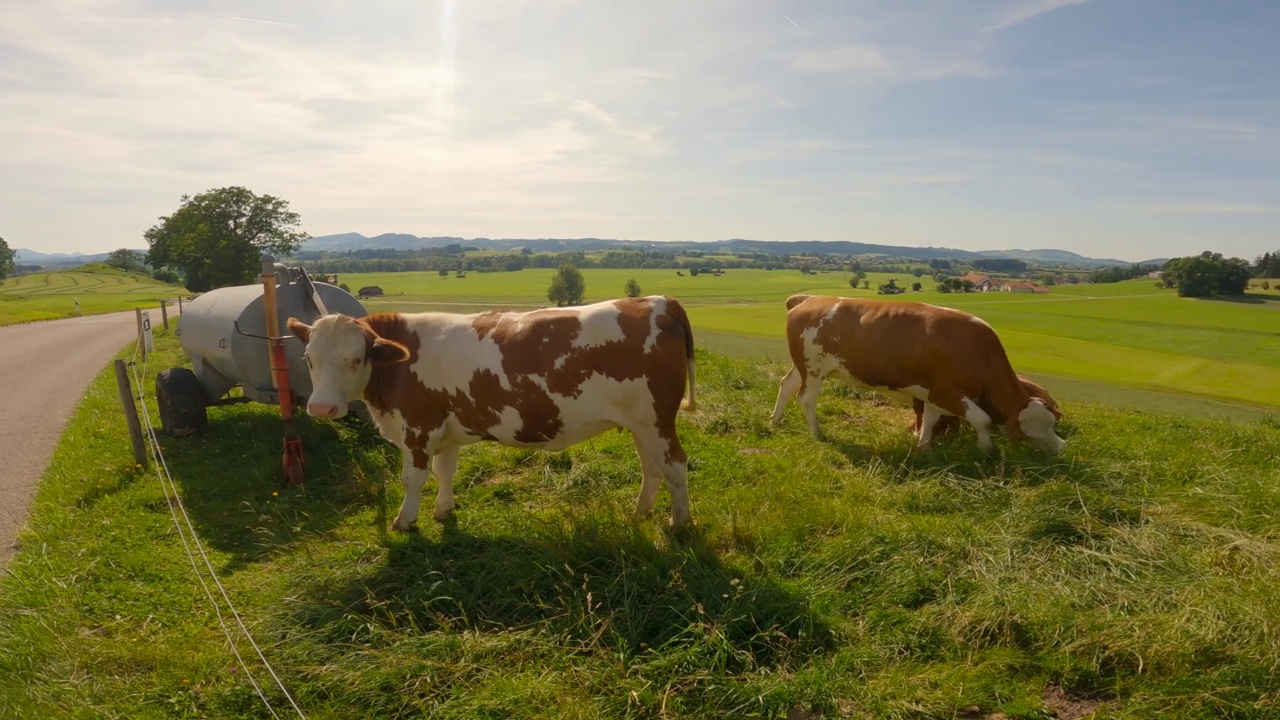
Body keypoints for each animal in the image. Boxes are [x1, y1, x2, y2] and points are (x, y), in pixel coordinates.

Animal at [289, 294, 696, 530]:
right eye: (308, 358)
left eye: (356, 359)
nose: (321, 407)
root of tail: (658, 301)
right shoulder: (446, 430)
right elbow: (445, 470)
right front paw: (444, 510)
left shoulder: (417, 429)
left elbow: (413, 478)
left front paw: (404, 521)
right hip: (642, 424)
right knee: (651, 467)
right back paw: (642, 512)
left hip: (657, 420)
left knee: (675, 466)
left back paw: (680, 525)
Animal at [773, 289, 1064, 448]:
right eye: (1031, 430)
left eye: (1053, 422)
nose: (1062, 446)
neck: (980, 353)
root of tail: (809, 298)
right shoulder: (947, 392)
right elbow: (983, 419)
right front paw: (985, 448)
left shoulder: (934, 393)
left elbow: (930, 419)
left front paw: (924, 447)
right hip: (813, 370)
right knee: (805, 398)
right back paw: (816, 432)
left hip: (801, 367)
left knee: (786, 386)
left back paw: (775, 421)